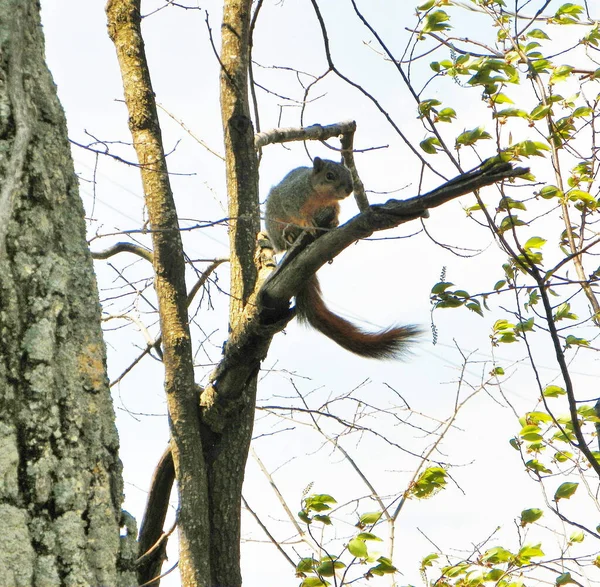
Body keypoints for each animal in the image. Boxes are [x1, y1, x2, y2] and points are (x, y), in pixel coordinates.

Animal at [264, 156, 420, 358]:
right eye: (329, 176)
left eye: (348, 174)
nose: (349, 188)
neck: (321, 197)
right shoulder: (293, 196)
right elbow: (296, 212)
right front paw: (307, 223)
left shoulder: (333, 206)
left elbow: (335, 215)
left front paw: (334, 223)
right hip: (274, 221)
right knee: (284, 237)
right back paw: (290, 234)